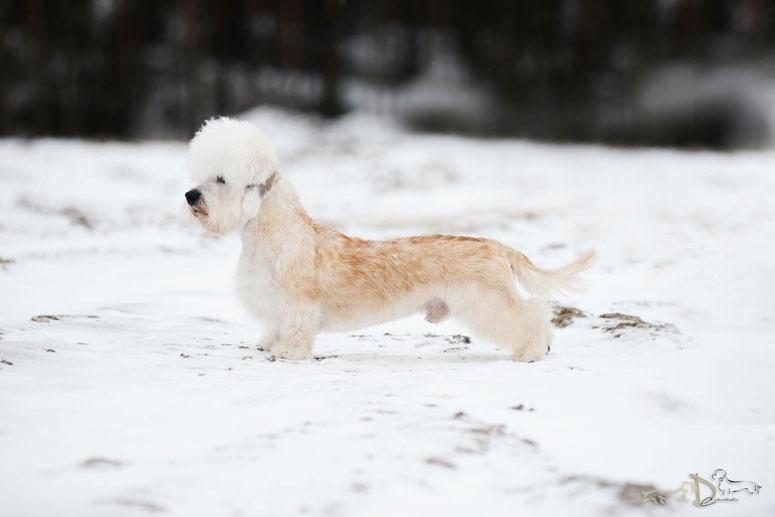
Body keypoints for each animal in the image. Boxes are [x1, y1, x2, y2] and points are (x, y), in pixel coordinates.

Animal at [185, 116, 596, 358]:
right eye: (203, 176)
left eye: (221, 179)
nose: (190, 196)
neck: (271, 235)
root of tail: (498, 247)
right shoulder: (273, 305)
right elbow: (274, 326)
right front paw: (270, 343)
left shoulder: (298, 306)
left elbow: (297, 331)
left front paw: (288, 352)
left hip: (487, 301)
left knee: (531, 314)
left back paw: (533, 349)